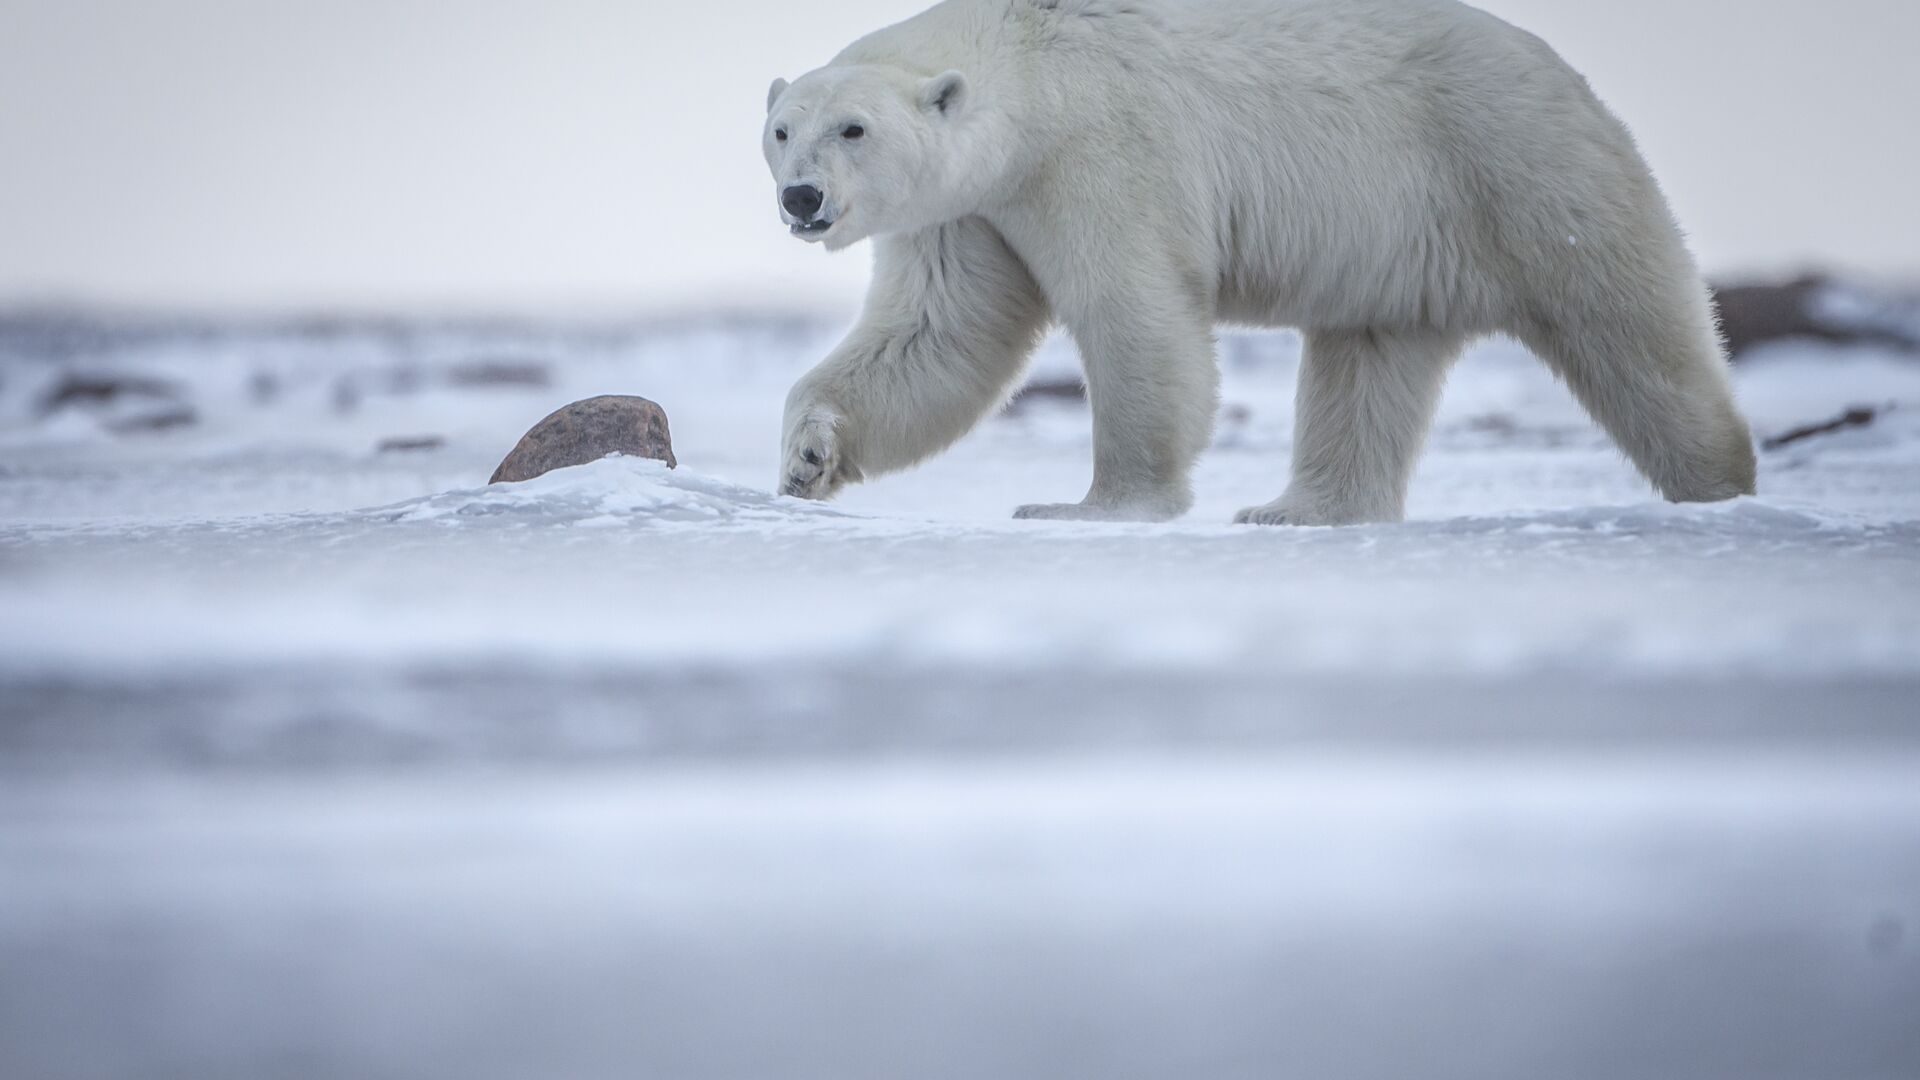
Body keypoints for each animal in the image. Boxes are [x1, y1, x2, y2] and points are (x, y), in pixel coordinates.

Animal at [763, 0, 1757, 524]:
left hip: (1520, 169)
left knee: (1633, 328)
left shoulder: (1101, 153)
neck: (1030, 70)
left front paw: (1089, 507)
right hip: (1398, 241)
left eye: (853, 128)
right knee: (1368, 362)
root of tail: (1566, 77)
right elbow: (934, 333)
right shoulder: (970, 210)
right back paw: (1301, 509)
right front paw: (808, 457)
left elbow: (1137, 318)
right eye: (781, 130)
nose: (801, 199)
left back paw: (1724, 489)